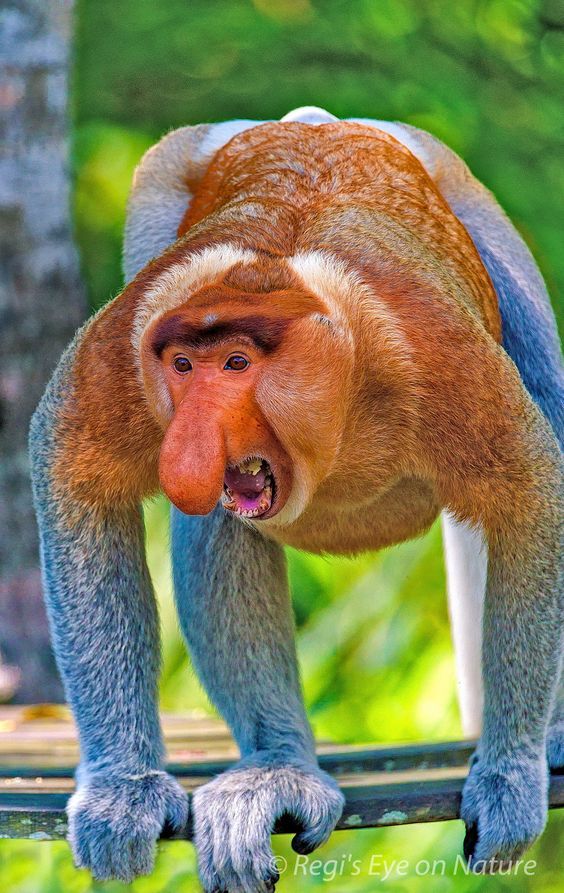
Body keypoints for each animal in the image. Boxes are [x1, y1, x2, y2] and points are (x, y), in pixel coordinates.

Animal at [30, 106, 563, 890]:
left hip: (470, 204)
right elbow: (75, 475)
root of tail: (312, 122)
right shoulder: (125, 344)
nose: (188, 445)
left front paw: (510, 780)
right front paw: (124, 795)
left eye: (236, 364)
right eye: (182, 365)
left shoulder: (436, 350)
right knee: (216, 529)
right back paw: (278, 772)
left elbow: (530, 490)